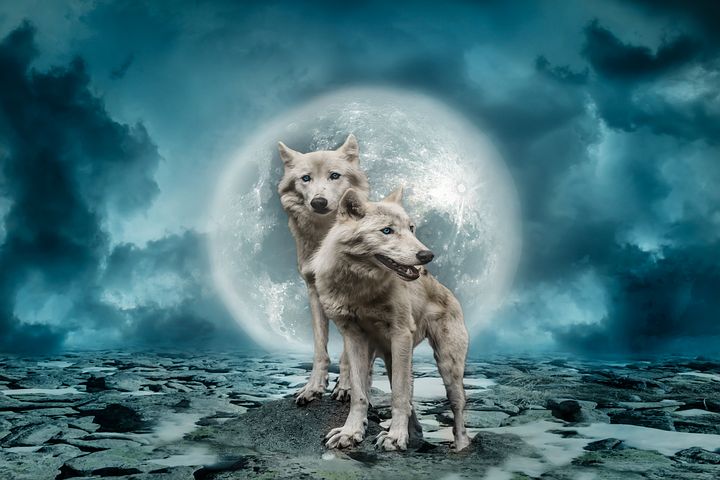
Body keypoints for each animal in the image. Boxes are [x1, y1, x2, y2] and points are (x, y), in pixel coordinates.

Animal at [277, 135, 370, 405]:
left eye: (334, 176)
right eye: (306, 178)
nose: (318, 201)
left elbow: (349, 354)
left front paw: (347, 387)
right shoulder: (313, 291)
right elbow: (320, 348)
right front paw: (313, 388)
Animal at [311, 187, 471, 451]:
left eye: (412, 228)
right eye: (387, 231)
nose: (427, 255)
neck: (361, 289)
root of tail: (445, 289)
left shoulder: (400, 334)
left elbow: (398, 395)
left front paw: (395, 437)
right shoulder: (353, 337)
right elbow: (359, 393)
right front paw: (351, 432)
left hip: (447, 366)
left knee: (457, 407)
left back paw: (459, 446)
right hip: (390, 358)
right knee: (411, 402)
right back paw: (414, 435)